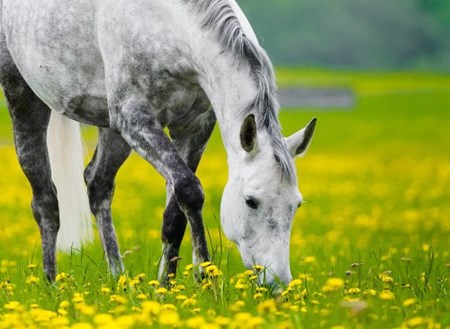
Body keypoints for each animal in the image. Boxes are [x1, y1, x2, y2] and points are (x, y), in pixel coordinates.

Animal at [0, 0, 314, 284]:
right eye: (251, 201)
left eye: (297, 205)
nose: (277, 283)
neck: (169, 25)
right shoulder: (134, 117)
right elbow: (189, 190)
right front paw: (205, 276)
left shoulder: (193, 128)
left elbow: (175, 212)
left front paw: (166, 286)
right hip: (25, 101)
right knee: (45, 202)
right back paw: (51, 283)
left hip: (112, 129)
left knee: (98, 185)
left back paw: (119, 278)